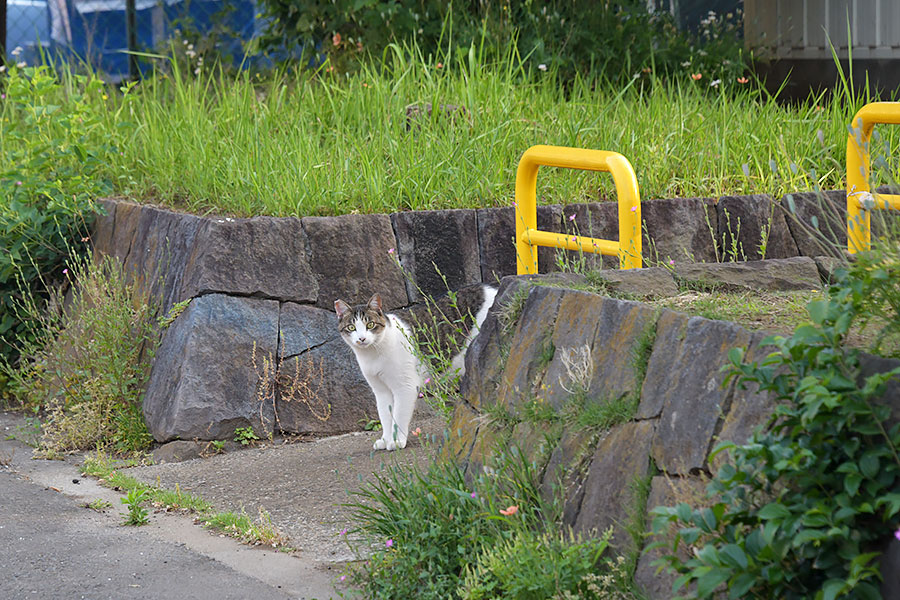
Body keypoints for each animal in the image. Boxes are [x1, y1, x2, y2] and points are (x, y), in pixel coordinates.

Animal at [334, 284, 500, 450]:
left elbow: (398, 415)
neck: (372, 354)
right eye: (351, 327)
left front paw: (397, 441)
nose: (361, 338)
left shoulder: (405, 387)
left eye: (370, 325)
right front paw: (385, 439)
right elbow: (385, 416)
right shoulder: (380, 391)